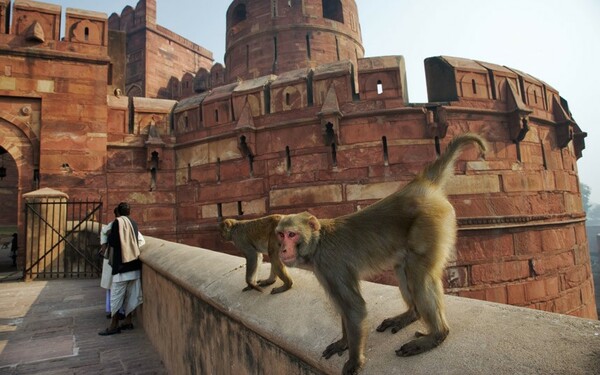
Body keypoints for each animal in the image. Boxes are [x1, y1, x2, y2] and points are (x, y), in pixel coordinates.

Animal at [276, 134, 488, 374]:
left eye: (292, 234)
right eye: (280, 234)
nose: (283, 249)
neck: (318, 243)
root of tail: (421, 185)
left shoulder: (331, 266)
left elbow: (354, 308)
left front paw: (354, 359)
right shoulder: (324, 271)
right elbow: (344, 308)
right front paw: (344, 342)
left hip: (431, 222)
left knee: (418, 276)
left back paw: (436, 334)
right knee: (403, 269)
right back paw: (411, 315)